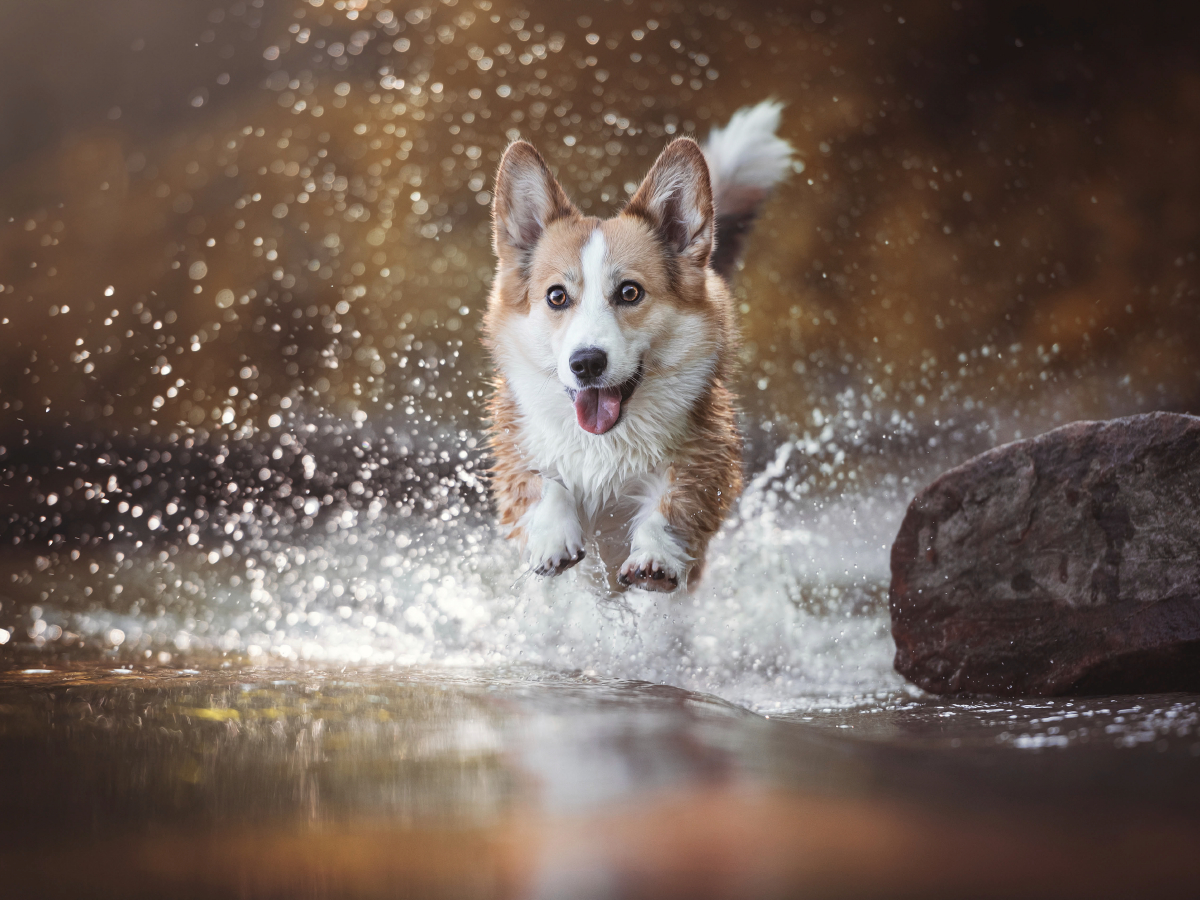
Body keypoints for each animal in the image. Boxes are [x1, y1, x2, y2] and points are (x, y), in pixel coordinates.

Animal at [482, 100, 792, 592]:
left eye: (630, 293)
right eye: (557, 297)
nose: (587, 363)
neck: (604, 445)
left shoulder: (704, 464)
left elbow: (670, 506)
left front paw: (654, 558)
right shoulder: (515, 450)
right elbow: (543, 484)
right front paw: (553, 540)